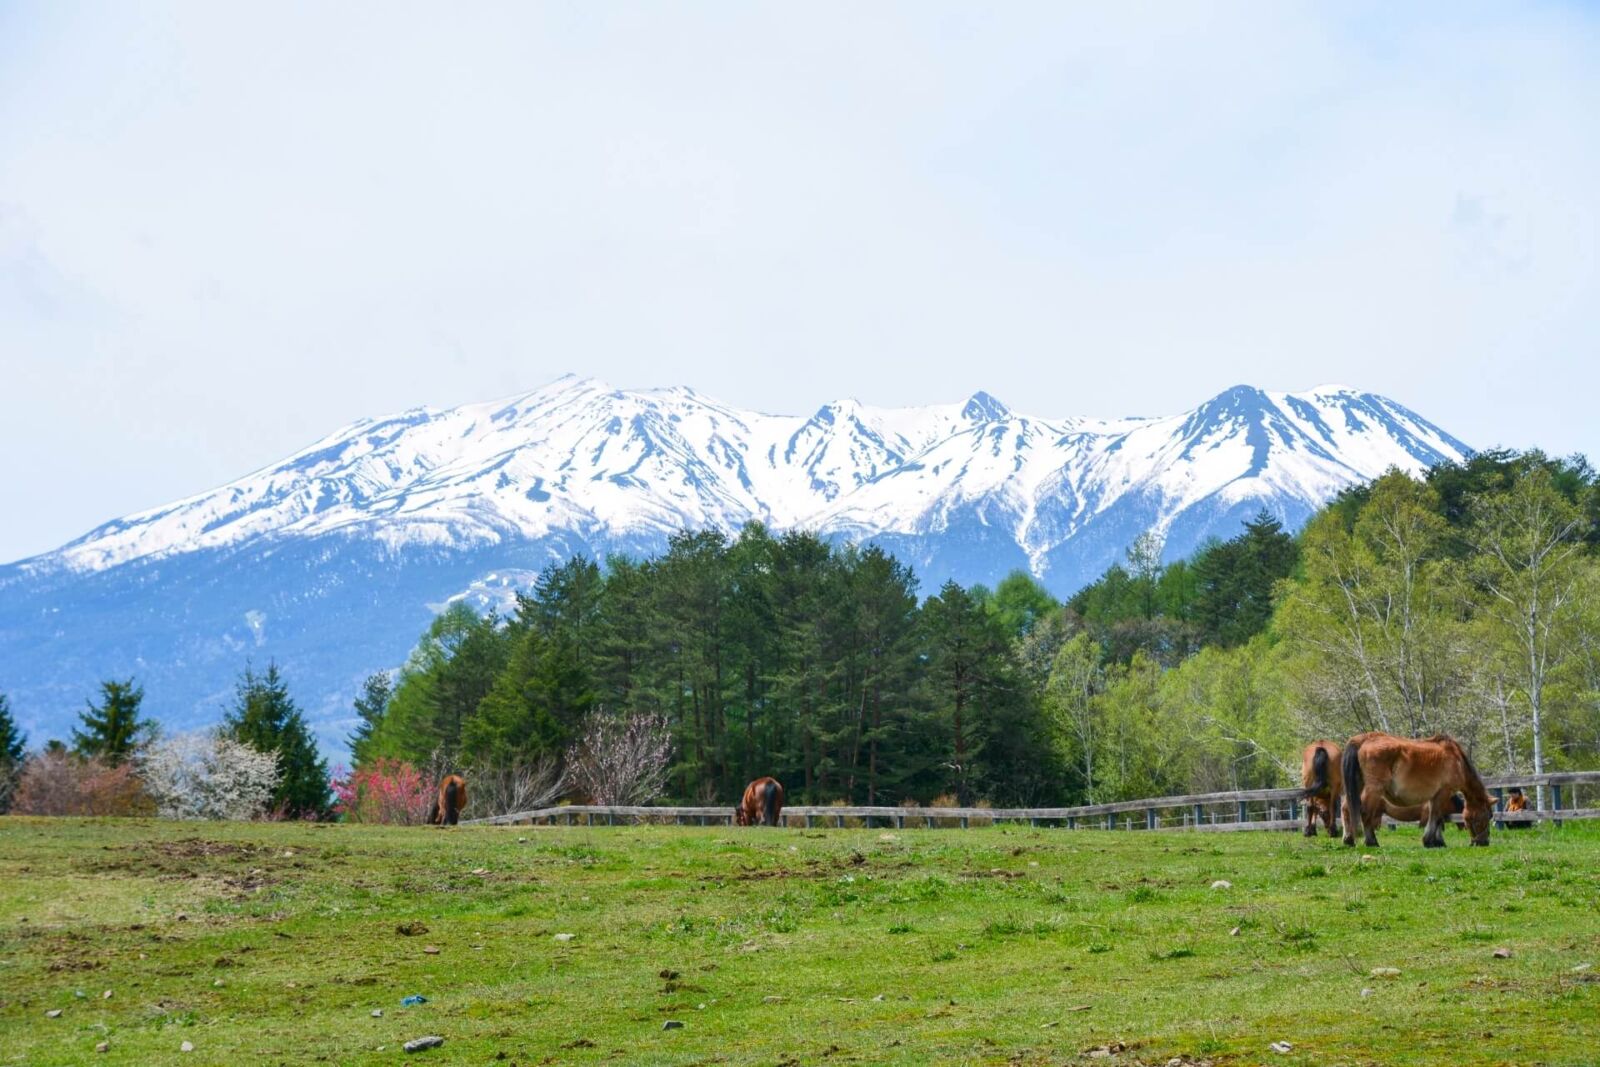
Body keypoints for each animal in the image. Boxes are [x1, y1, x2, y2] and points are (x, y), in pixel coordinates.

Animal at [1344, 729, 1491, 844]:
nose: (1484, 842)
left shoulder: (1435, 796)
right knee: (1365, 812)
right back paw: (1371, 842)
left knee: (1347, 809)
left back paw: (1349, 839)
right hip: (1374, 789)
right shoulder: (1444, 792)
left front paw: (1437, 841)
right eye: (1488, 816)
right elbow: (1436, 816)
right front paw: (1430, 841)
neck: (1456, 759)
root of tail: (1364, 739)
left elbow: (1436, 818)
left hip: (1358, 786)